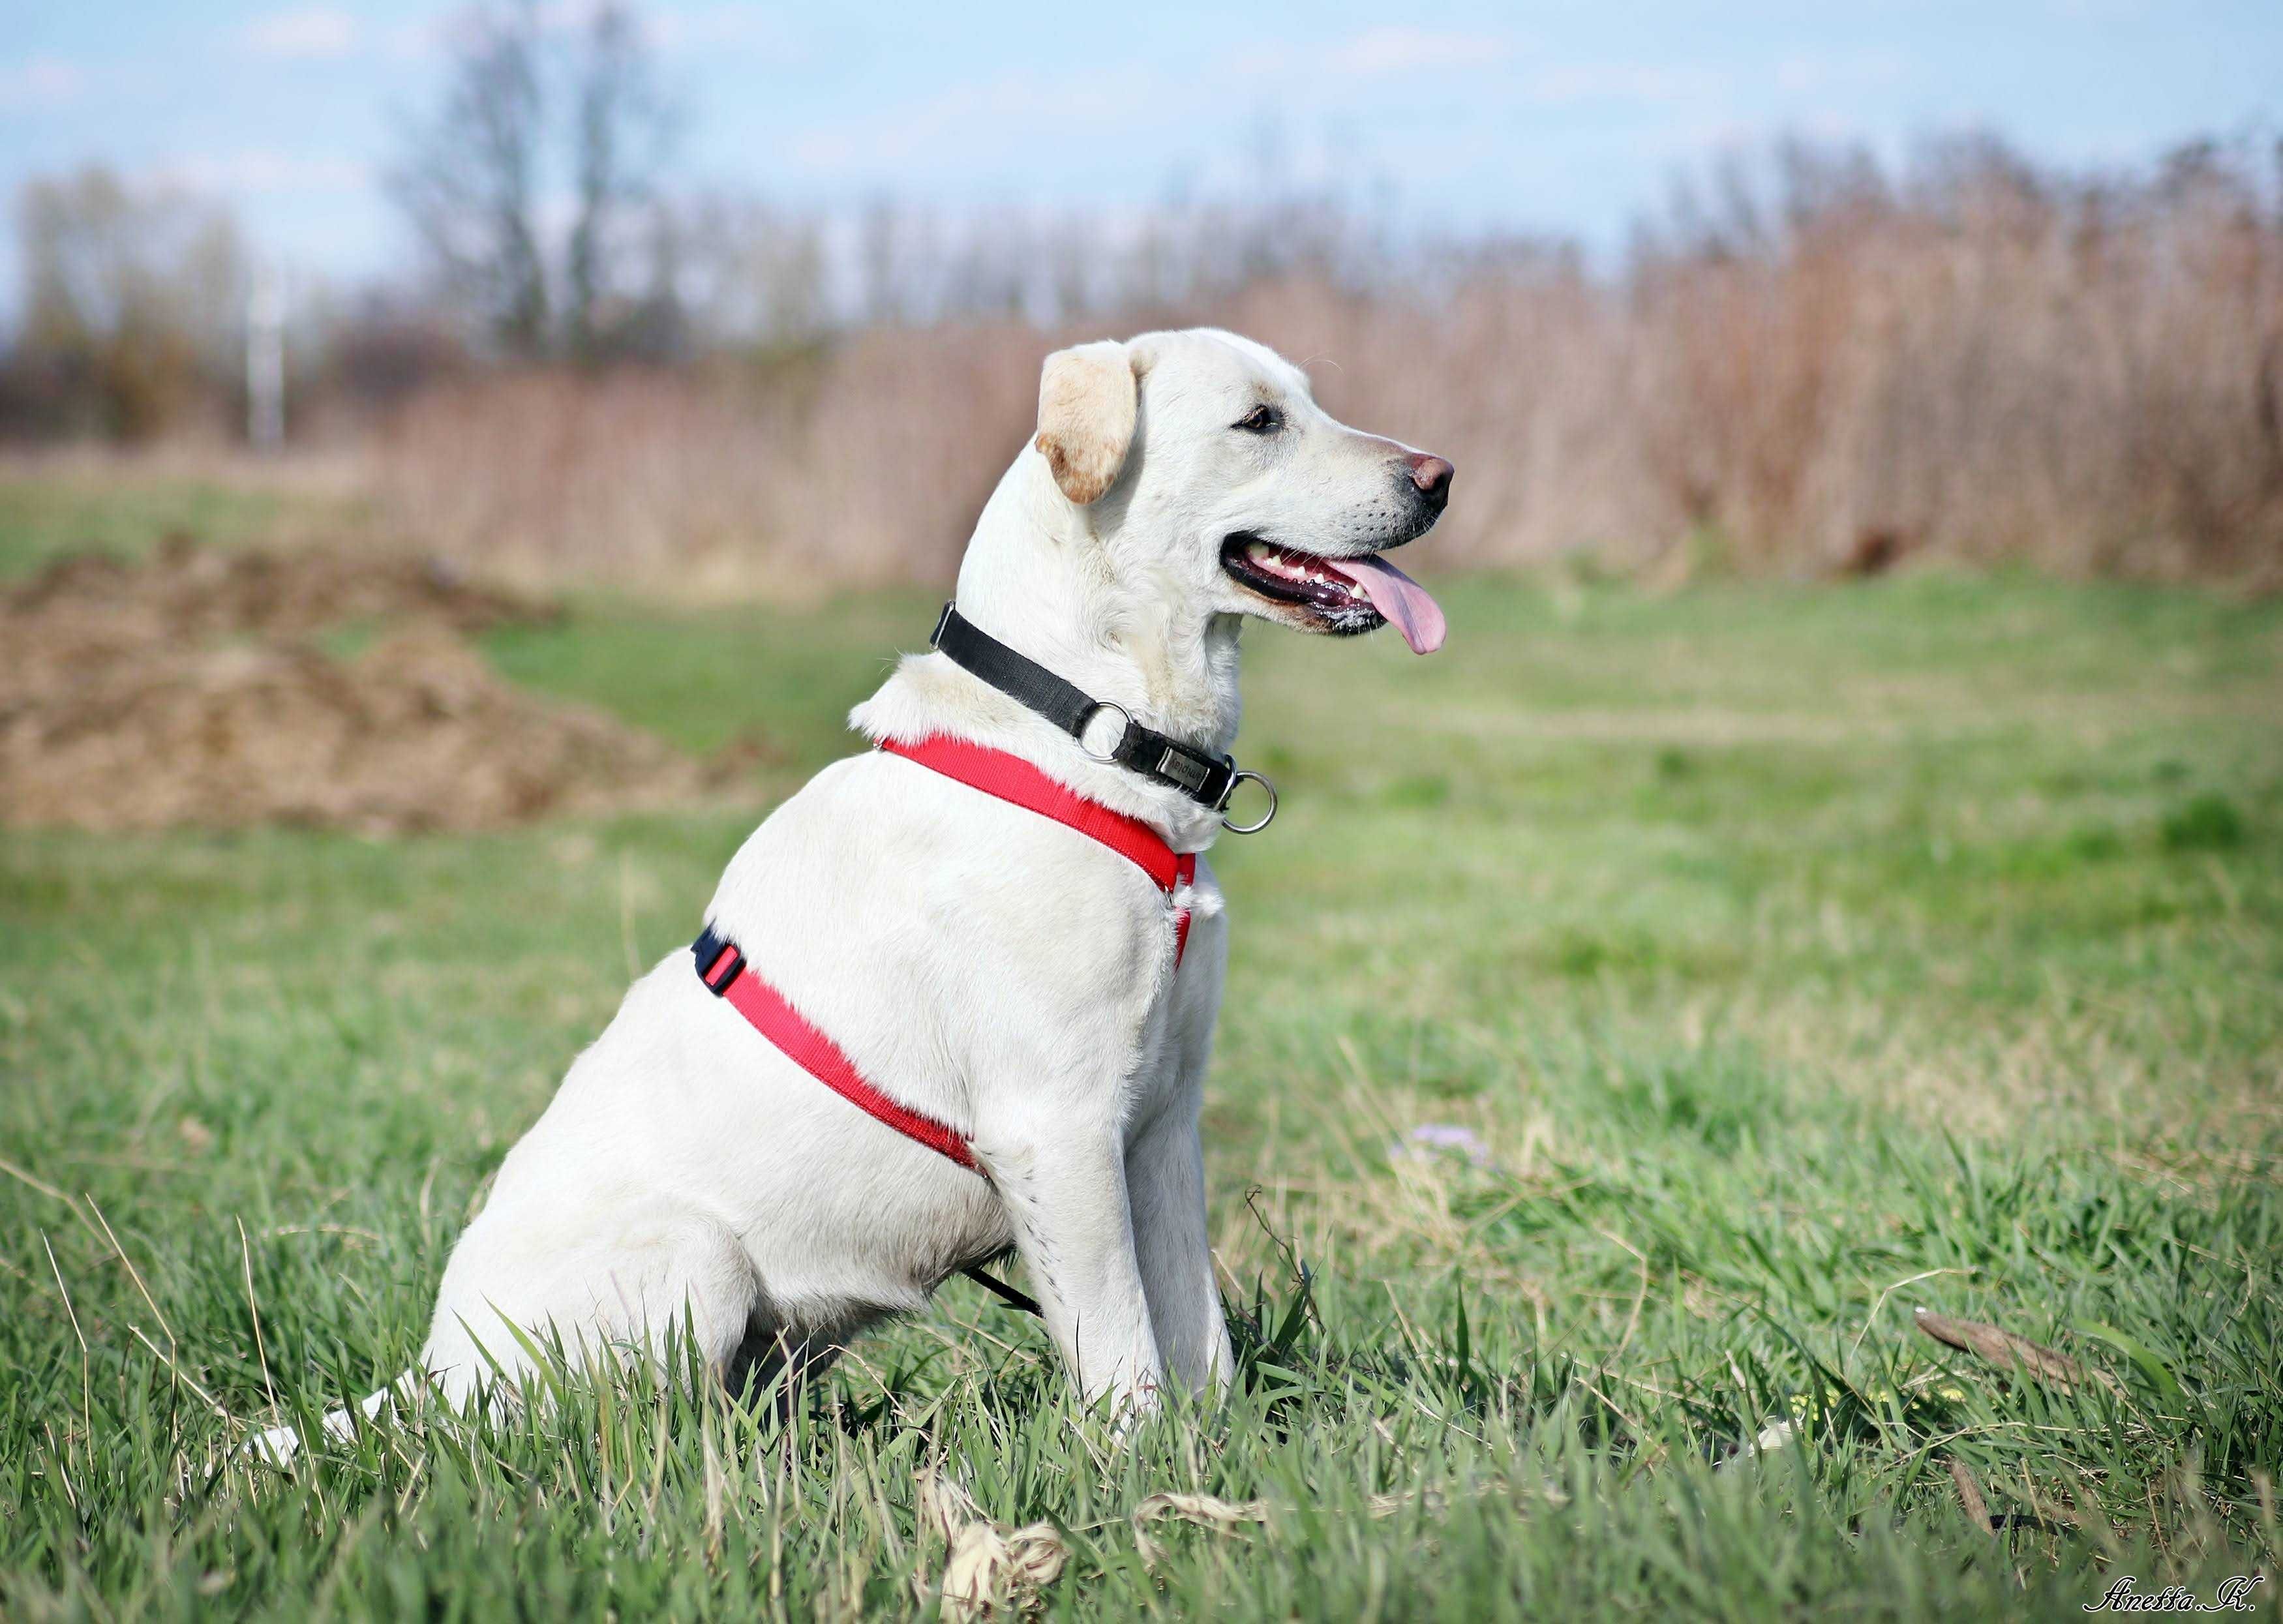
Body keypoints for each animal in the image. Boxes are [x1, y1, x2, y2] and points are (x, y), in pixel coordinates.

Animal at [254, 326, 1443, 1462]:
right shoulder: (1056, 1127)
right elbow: (1121, 1348)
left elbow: (1199, 1338)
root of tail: (428, 1376)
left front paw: (1223, 1463)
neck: (1084, 733)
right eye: (1260, 420)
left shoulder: (1164, 1122)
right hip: (696, 1263)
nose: (1440, 475)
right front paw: (1148, 1477)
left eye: (1309, 399)